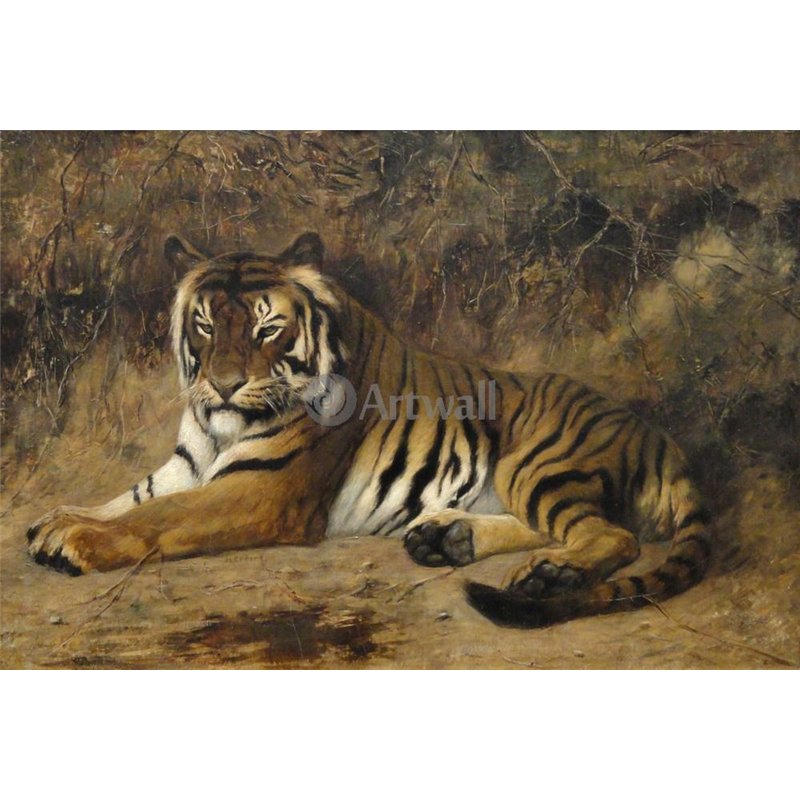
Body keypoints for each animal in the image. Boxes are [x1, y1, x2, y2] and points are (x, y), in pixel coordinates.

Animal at [26, 232, 712, 628]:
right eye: (204, 325)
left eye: (266, 328)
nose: (221, 386)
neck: (219, 429)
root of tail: (659, 434)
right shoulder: (187, 467)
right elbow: (129, 498)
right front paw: (54, 520)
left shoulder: (262, 492)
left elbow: (158, 517)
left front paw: (75, 541)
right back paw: (448, 538)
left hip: (535, 462)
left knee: (613, 534)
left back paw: (552, 574)